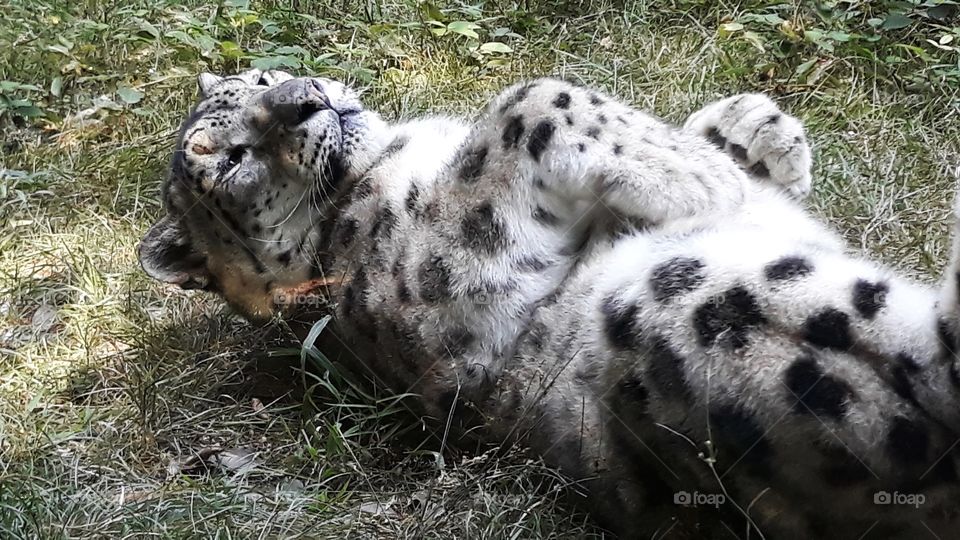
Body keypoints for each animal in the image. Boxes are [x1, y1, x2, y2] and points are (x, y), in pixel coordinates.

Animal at [139, 67, 960, 538]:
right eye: (229, 158)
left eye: (264, 76)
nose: (306, 101)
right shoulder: (447, 285)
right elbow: (530, 99)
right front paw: (700, 177)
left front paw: (755, 129)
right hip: (701, 309)